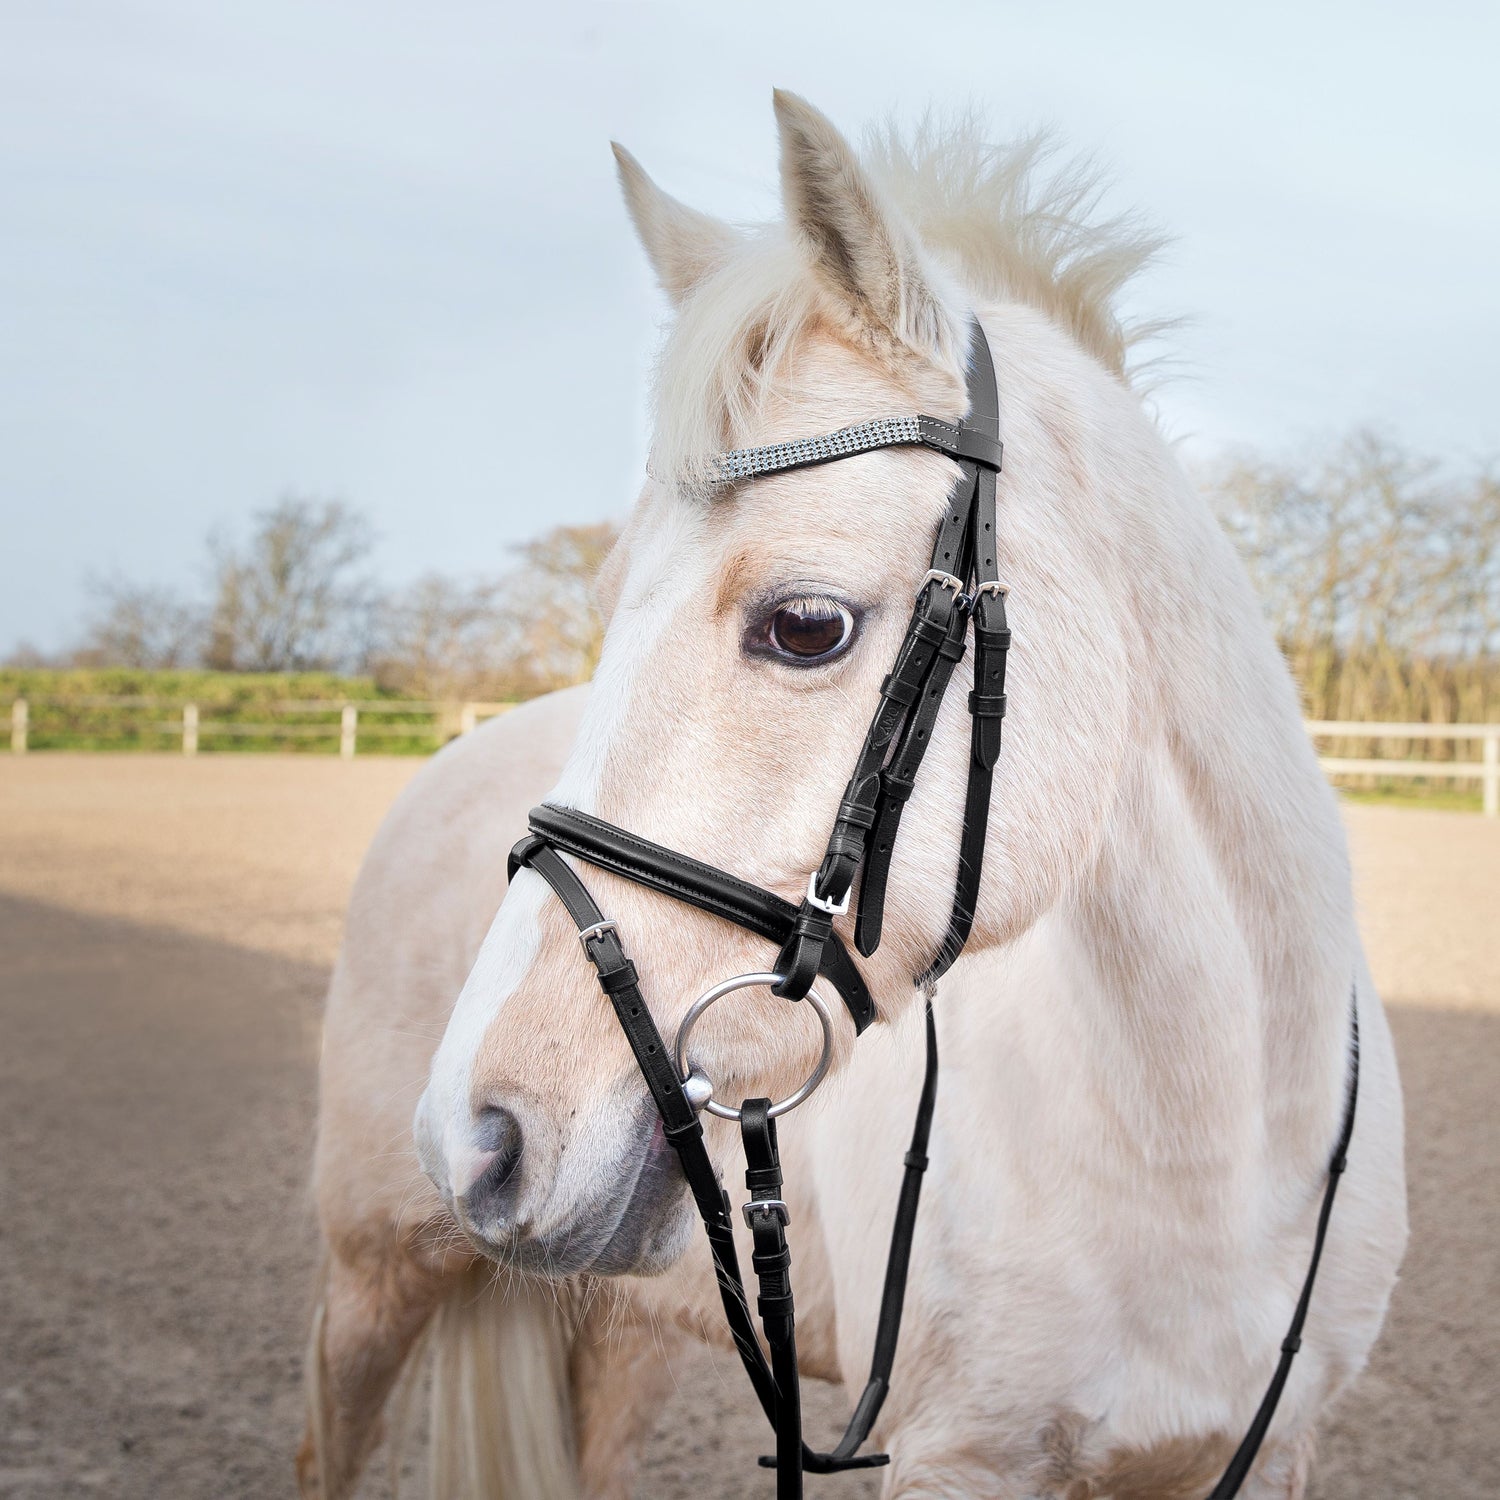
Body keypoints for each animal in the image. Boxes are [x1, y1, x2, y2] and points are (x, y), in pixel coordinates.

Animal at [301, 93, 1407, 1498]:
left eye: (806, 624)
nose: (479, 1134)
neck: (1212, 1157)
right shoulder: (959, 1457)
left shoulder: (1266, 1457)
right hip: (370, 1281)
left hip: (629, 1329)